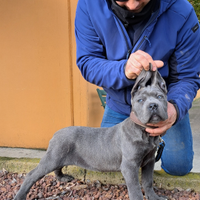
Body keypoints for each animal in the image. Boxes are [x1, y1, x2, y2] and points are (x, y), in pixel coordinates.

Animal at [13, 69, 167, 200]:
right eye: (140, 100)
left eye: (160, 97)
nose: (153, 105)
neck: (144, 132)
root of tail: (56, 133)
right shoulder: (129, 166)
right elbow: (135, 190)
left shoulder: (149, 161)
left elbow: (148, 182)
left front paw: (155, 197)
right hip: (52, 157)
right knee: (31, 175)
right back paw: (20, 196)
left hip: (58, 156)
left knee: (57, 167)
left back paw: (62, 178)